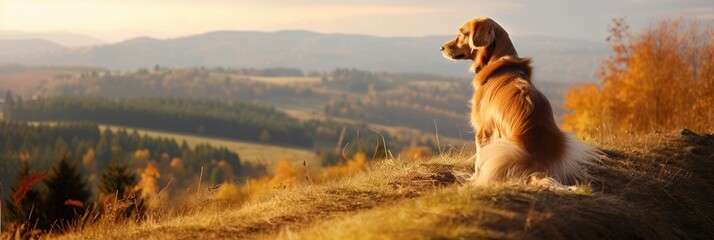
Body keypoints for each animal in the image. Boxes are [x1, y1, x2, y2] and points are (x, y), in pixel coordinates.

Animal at [436, 17, 596, 186]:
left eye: (461, 33)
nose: (441, 47)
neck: (497, 64)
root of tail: (536, 166)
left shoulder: (483, 130)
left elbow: (478, 162)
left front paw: (473, 179)